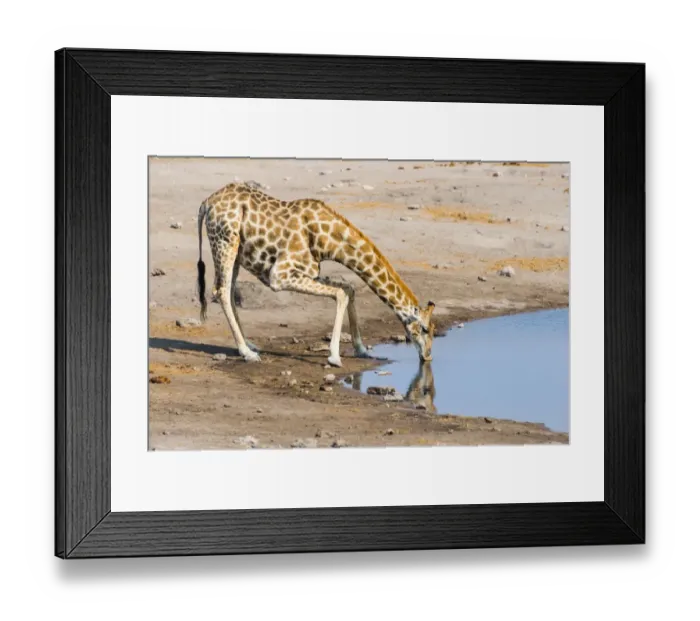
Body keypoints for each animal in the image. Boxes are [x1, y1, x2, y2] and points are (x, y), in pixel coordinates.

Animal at [196, 182, 436, 367]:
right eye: (424, 329)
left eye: (434, 330)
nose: (427, 357)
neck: (327, 240)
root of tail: (206, 202)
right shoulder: (279, 276)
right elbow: (340, 294)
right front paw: (335, 357)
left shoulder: (309, 271)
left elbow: (348, 288)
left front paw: (361, 349)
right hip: (225, 242)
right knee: (221, 291)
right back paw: (247, 353)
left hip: (236, 253)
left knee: (228, 290)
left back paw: (249, 345)